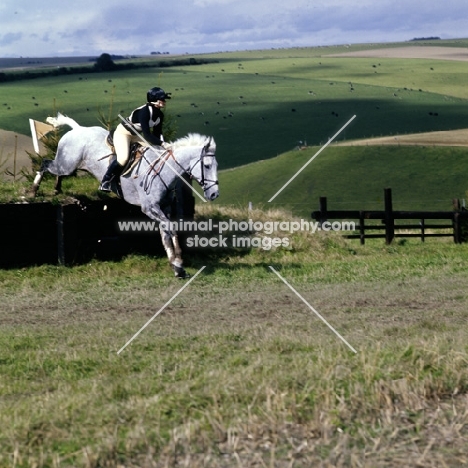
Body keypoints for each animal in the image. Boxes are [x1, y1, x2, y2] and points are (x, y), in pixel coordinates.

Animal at [33, 114, 219, 278]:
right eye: (207, 166)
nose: (214, 194)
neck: (166, 169)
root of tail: (78, 129)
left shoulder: (163, 207)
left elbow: (166, 233)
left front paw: (177, 267)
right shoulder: (149, 208)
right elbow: (169, 228)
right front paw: (178, 260)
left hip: (69, 166)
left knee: (56, 171)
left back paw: (57, 188)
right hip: (66, 164)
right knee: (45, 164)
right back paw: (34, 189)